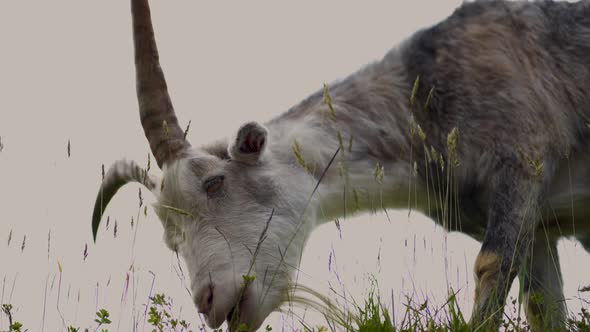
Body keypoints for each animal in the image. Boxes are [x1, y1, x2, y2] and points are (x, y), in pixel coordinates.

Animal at [91, 0, 590, 330]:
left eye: (215, 182)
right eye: (170, 238)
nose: (209, 300)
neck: (418, 96)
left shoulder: (520, 168)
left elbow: (490, 268)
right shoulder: (541, 227)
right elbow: (544, 309)